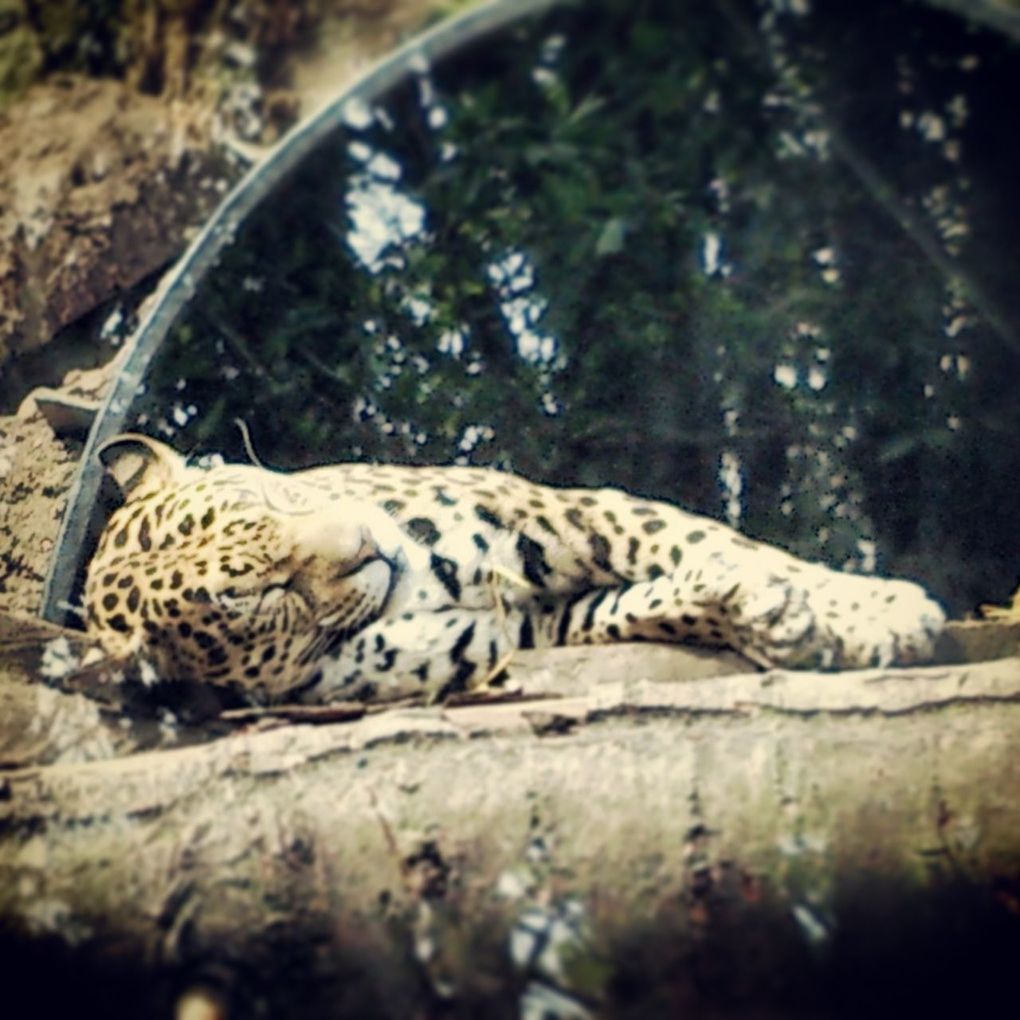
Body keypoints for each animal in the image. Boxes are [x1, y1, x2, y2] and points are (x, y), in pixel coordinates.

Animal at [83, 434, 942, 705]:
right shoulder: (525, 630)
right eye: (263, 595)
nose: (368, 544)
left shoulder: (567, 513)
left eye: (261, 497)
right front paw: (767, 617)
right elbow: (634, 606)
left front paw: (880, 614)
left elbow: (715, 545)